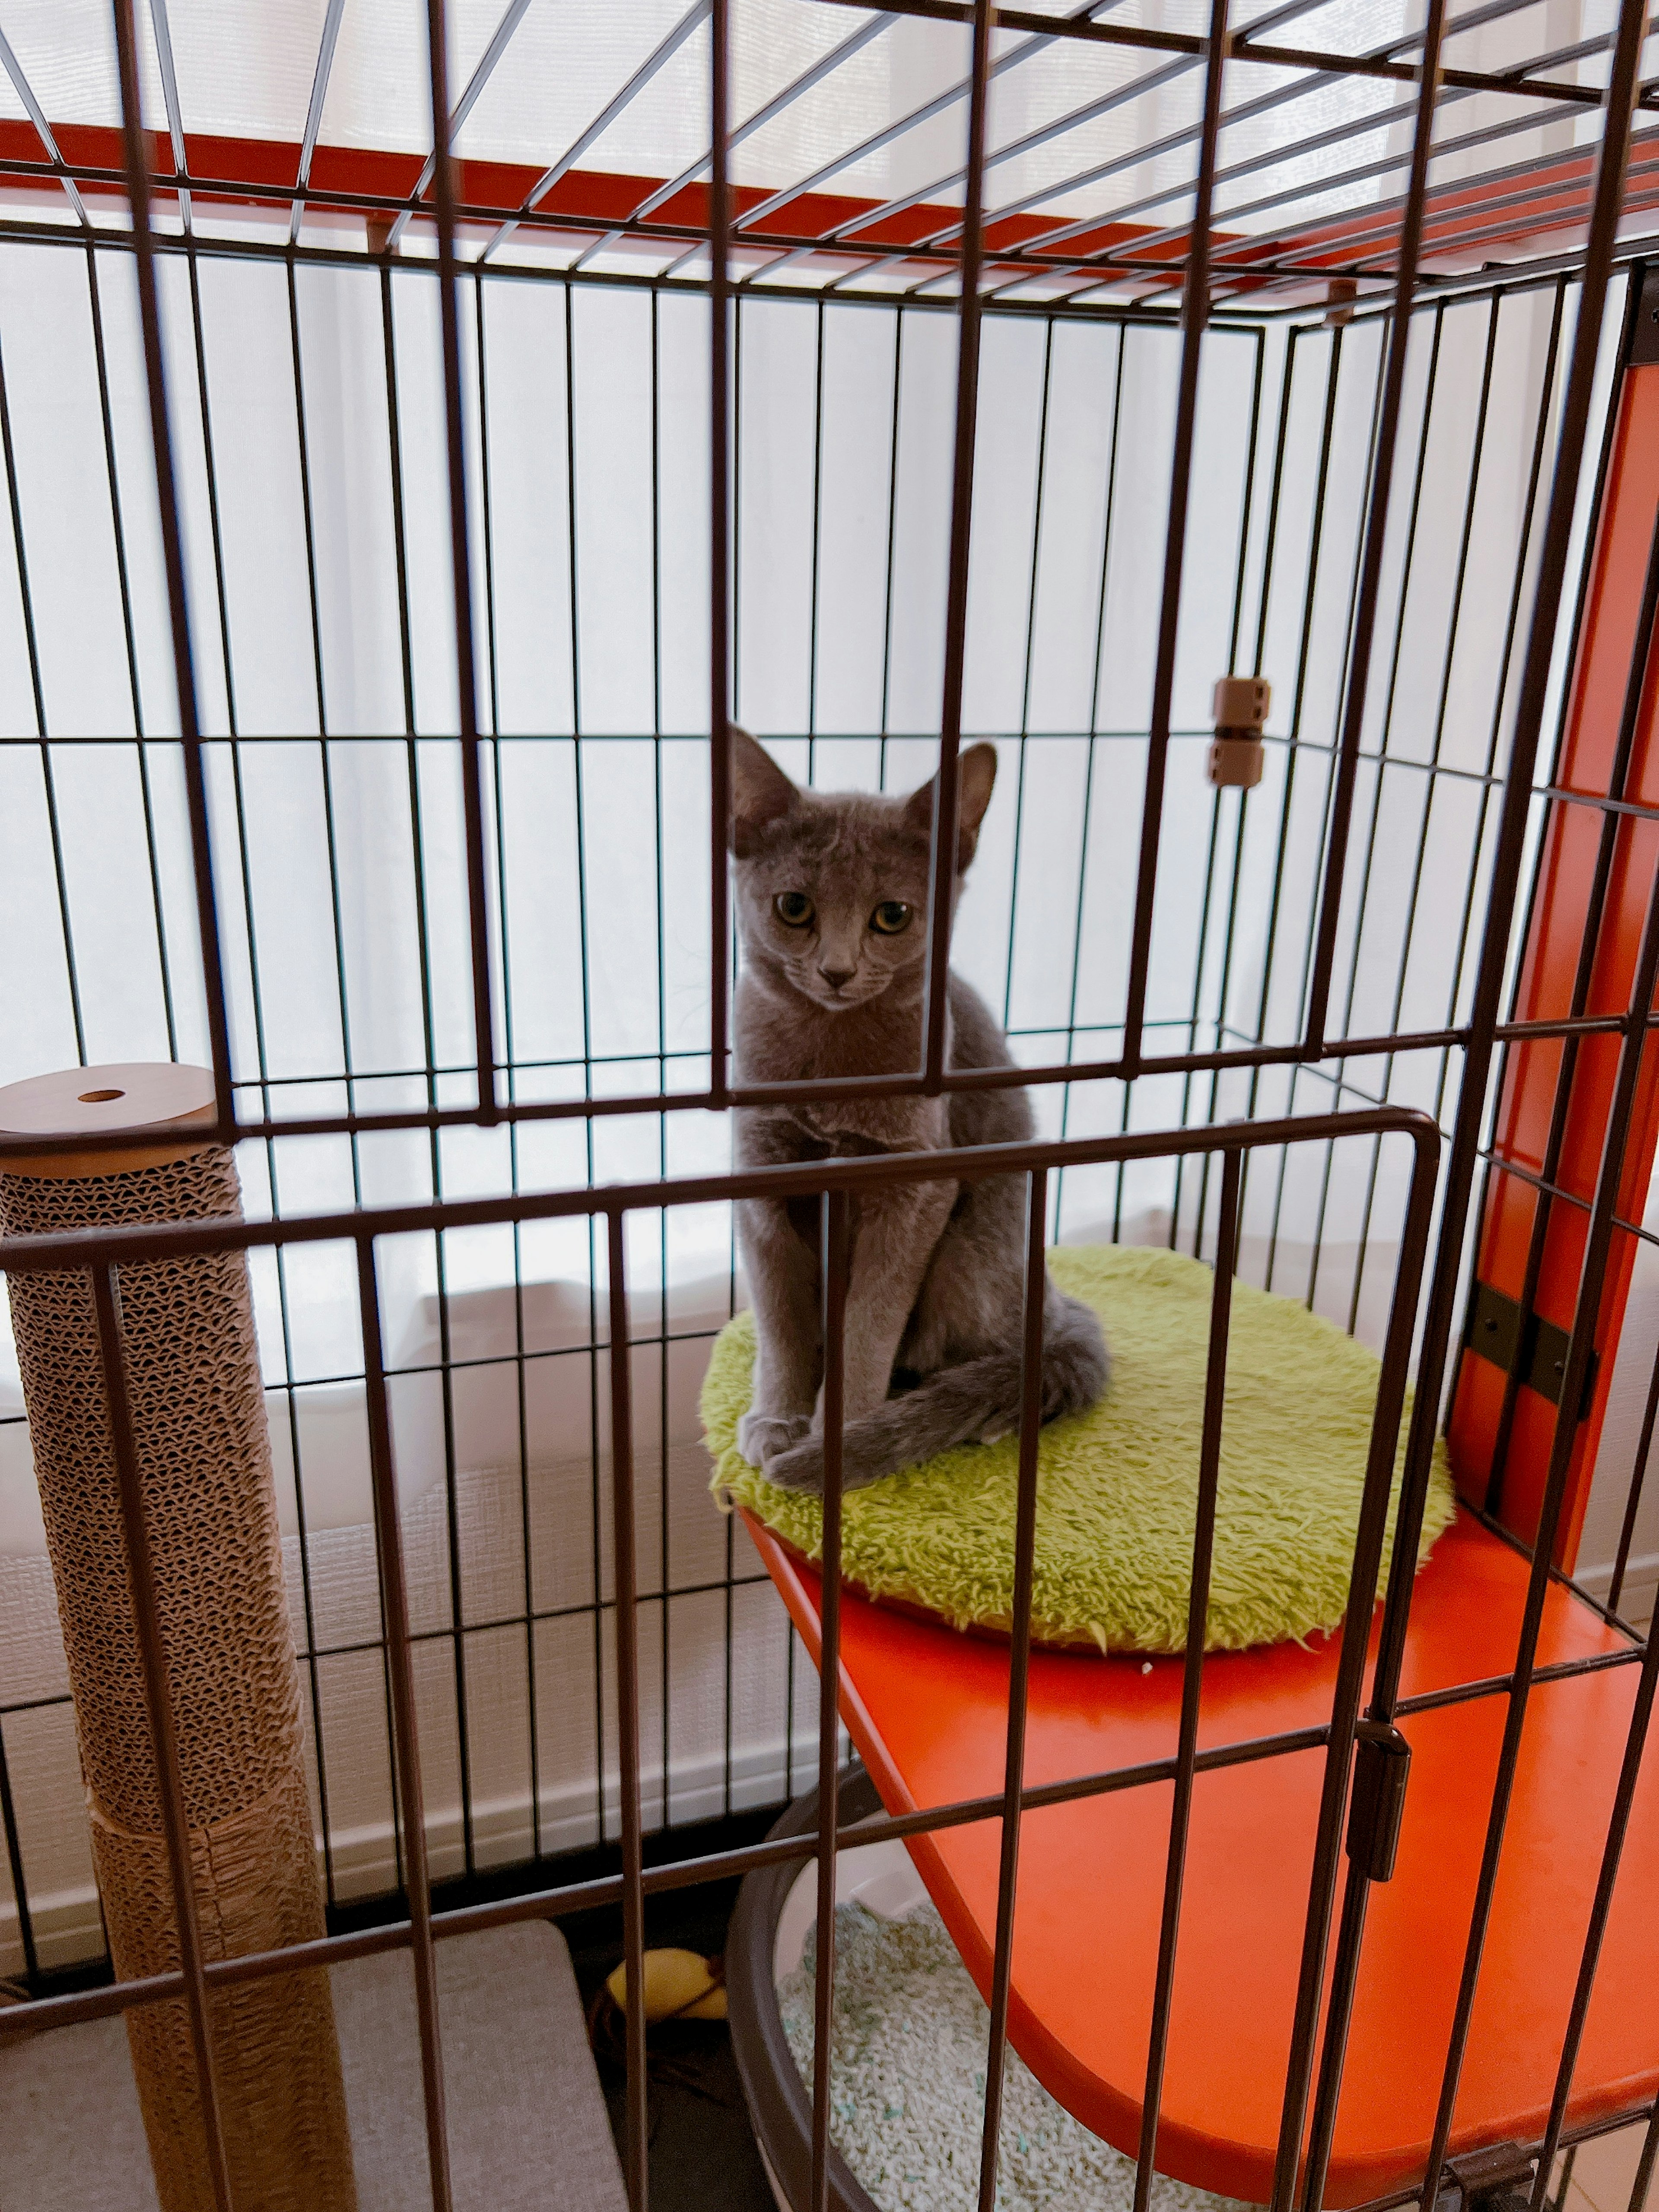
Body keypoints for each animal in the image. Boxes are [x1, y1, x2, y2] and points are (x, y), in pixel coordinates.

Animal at [734, 734, 1110, 1495]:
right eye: (793, 907)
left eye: (893, 916)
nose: (838, 971)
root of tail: (1059, 1304)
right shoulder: (761, 1175)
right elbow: (781, 1321)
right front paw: (779, 1421)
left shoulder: (914, 1186)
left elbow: (869, 1326)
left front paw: (835, 1440)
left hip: (969, 1255)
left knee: (989, 1356)